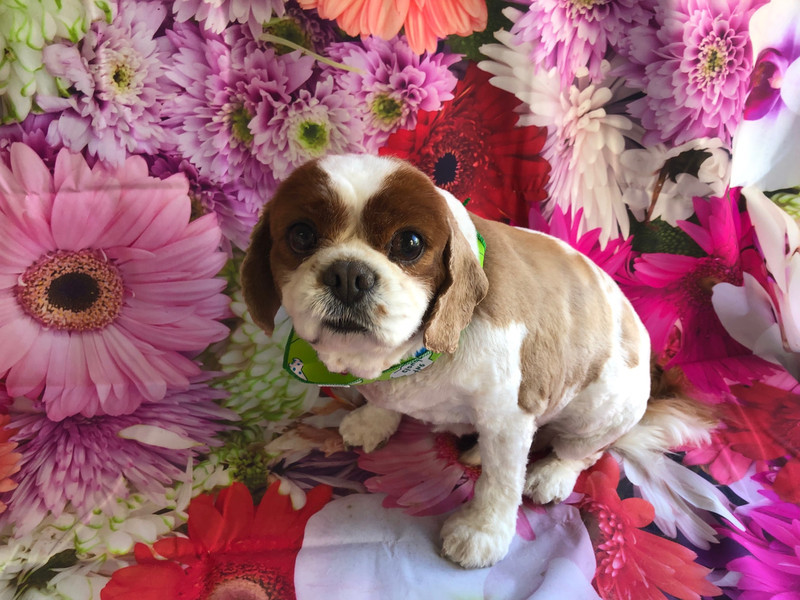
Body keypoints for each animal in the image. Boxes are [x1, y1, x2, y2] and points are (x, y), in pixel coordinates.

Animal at [241, 153, 708, 568]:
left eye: (409, 243)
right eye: (301, 235)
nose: (348, 274)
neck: (418, 354)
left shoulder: (508, 416)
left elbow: (500, 484)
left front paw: (482, 533)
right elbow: (382, 401)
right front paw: (374, 420)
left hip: (602, 413)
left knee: (583, 452)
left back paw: (552, 472)